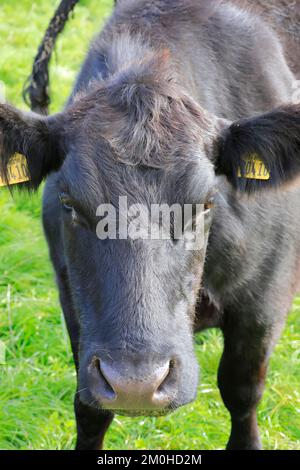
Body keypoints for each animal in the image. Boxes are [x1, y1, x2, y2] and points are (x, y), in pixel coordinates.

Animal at [0, 0, 300, 450]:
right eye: (69, 202)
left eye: (206, 202)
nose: (136, 384)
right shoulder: (72, 296)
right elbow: (89, 407)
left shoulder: (265, 301)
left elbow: (242, 391)